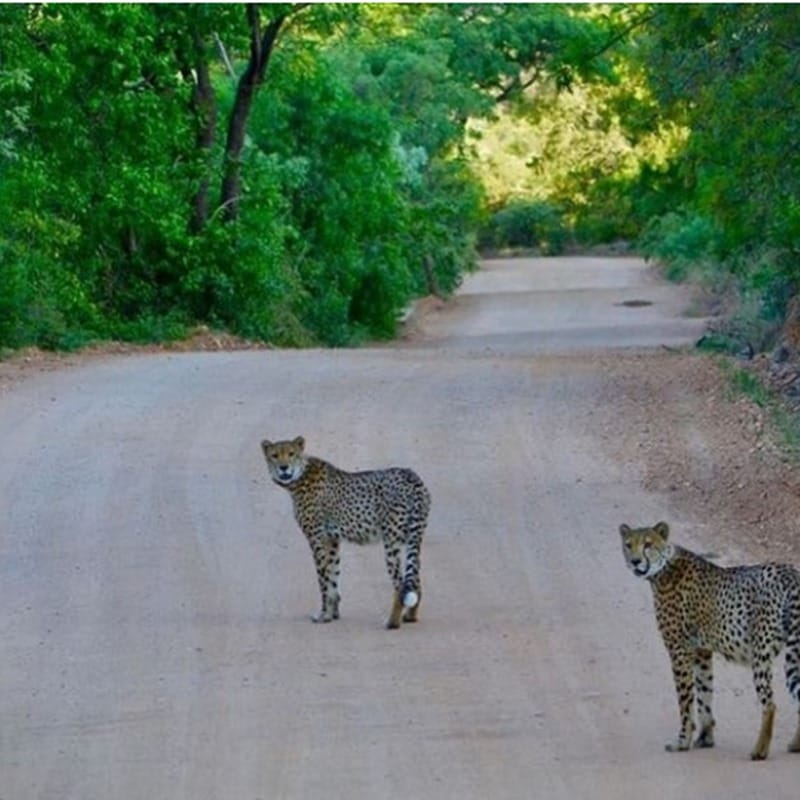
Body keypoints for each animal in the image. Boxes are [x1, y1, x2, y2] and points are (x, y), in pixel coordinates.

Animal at [261, 436, 430, 629]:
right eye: (275, 455)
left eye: (291, 454)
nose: (284, 468)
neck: (300, 476)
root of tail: (411, 475)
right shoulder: (333, 539)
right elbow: (333, 576)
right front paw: (333, 614)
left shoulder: (317, 539)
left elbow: (323, 580)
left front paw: (323, 614)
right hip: (413, 538)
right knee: (415, 580)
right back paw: (410, 616)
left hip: (391, 541)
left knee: (400, 584)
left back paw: (392, 622)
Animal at [619, 520, 800, 760]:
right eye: (628, 545)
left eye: (648, 544)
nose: (635, 561)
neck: (663, 567)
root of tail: (790, 571)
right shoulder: (702, 651)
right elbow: (704, 693)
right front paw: (705, 738)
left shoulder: (679, 650)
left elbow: (686, 701)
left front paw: (682, 741)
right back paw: (795, 744)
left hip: (761, 653)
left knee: (770, 704)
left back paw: (760, 751)